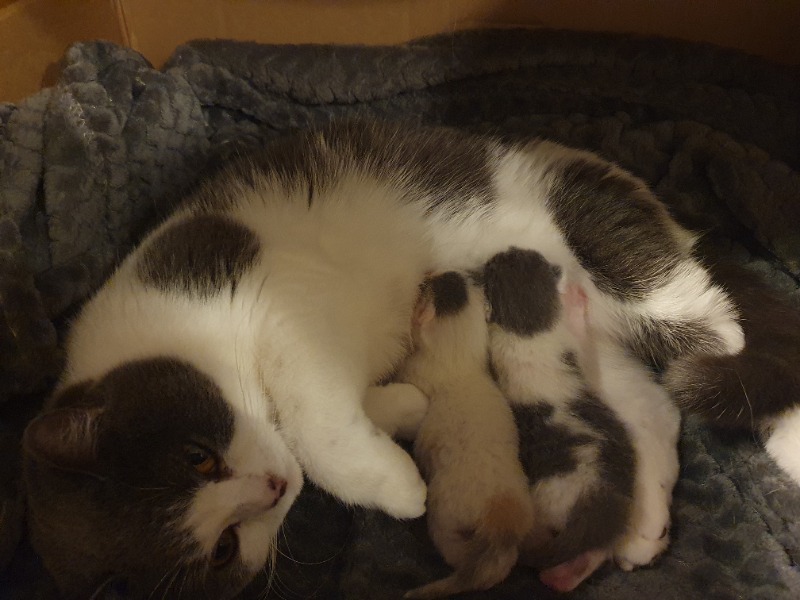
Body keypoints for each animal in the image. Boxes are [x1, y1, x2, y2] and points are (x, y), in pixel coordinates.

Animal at [21, 119, 792, 596]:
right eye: (223, 549)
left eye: (197, 455)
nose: (271, 487)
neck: (167, 328)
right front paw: (403, 409)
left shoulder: (273, 290)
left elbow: (313, 415)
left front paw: (395, 485)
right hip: (589, 354)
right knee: (651, 410)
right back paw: (635, 527)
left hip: (608, 240)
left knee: (717, 329)